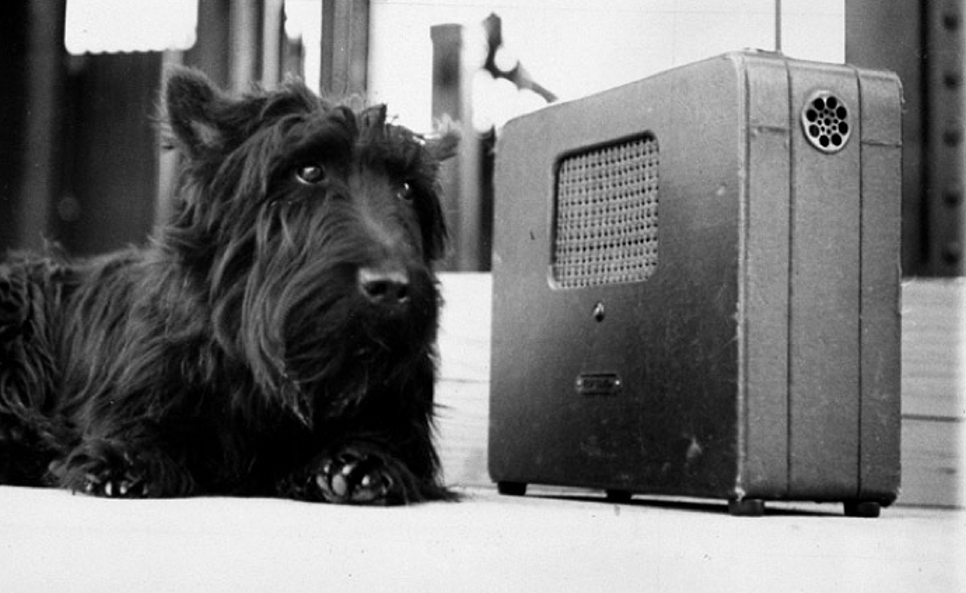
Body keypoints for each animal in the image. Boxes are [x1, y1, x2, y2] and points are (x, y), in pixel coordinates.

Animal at [0, 67, 459, 505]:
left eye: (406, 189)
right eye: (309, 171)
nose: (391, 287)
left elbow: (382, 442)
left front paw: (361, 463)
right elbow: (138, 428)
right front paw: (125, 459)